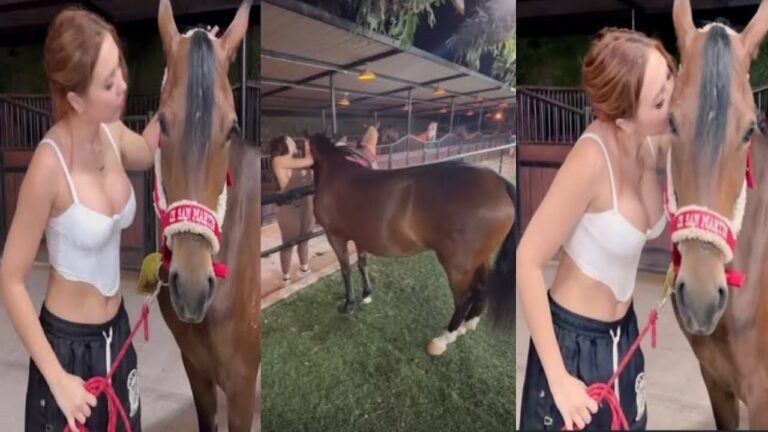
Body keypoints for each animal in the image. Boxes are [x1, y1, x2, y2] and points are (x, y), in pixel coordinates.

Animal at [307, 132, 515, 356]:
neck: (336, 173)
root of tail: (500, 183)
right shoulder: (358, 236)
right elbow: (362, 264)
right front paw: (366, 295)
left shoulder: (335, 236)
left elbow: (346, 270)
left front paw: (349, 304)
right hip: (479, 258)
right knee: (483, 287)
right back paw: (468, 325)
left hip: (458, 267)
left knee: (464, 297)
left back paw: (443, 339)